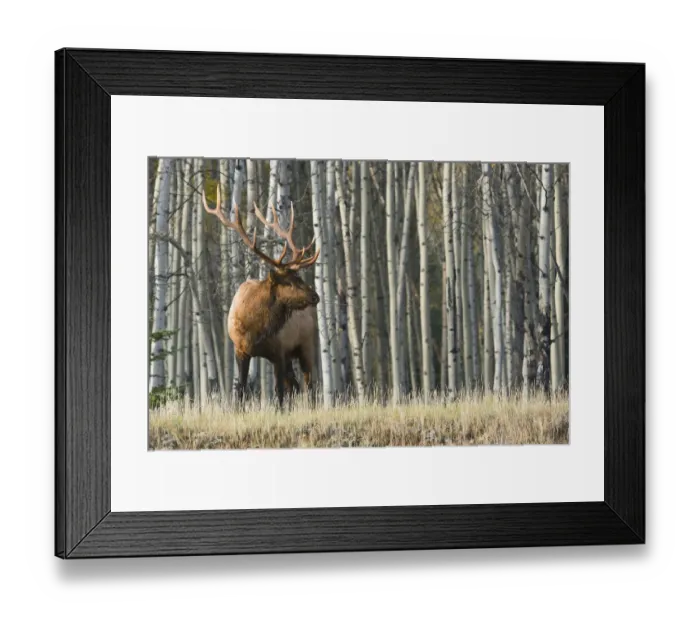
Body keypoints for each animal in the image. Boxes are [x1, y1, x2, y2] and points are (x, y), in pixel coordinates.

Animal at [202, 185, 321, 411]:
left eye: (300, 277)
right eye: (289, 282)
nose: (315, 296)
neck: (256, 329)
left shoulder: (279, 352)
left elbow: (279, 393)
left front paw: (280, 412)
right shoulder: (241, 350)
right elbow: (241, 389)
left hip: (307, 346)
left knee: (309, 385)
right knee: (296, 385)